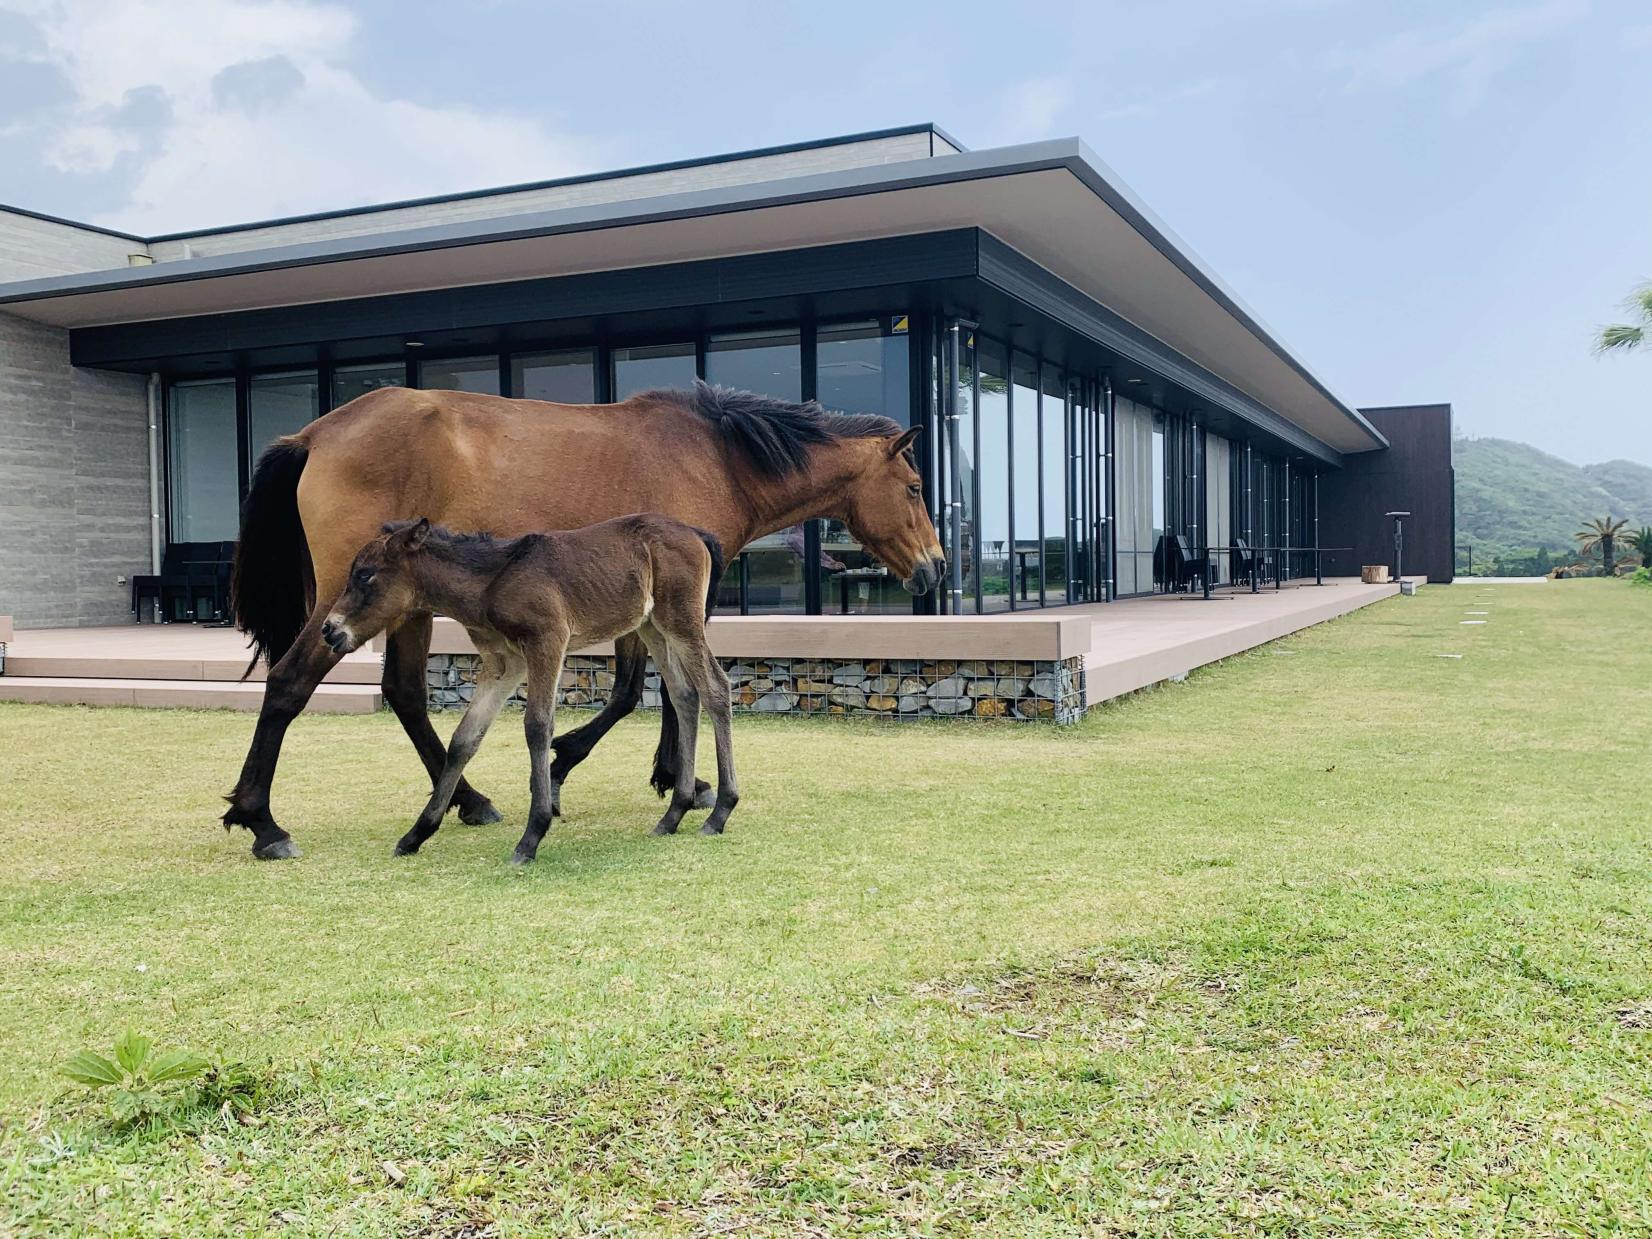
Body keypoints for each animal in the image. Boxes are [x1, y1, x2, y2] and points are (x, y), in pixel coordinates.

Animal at [322, 515, 736, 865]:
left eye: (365, 575)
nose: (329, 629)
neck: (492, 579)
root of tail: (696, 532)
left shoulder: (547, 642)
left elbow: (537, 726)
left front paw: (532, 835)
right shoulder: (504, 665)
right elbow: (464, 739)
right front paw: (417, 834)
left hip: (679, 619)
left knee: (716, 688)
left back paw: (720, 811)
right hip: (652, 626)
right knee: (686, 696)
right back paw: (674, 813)